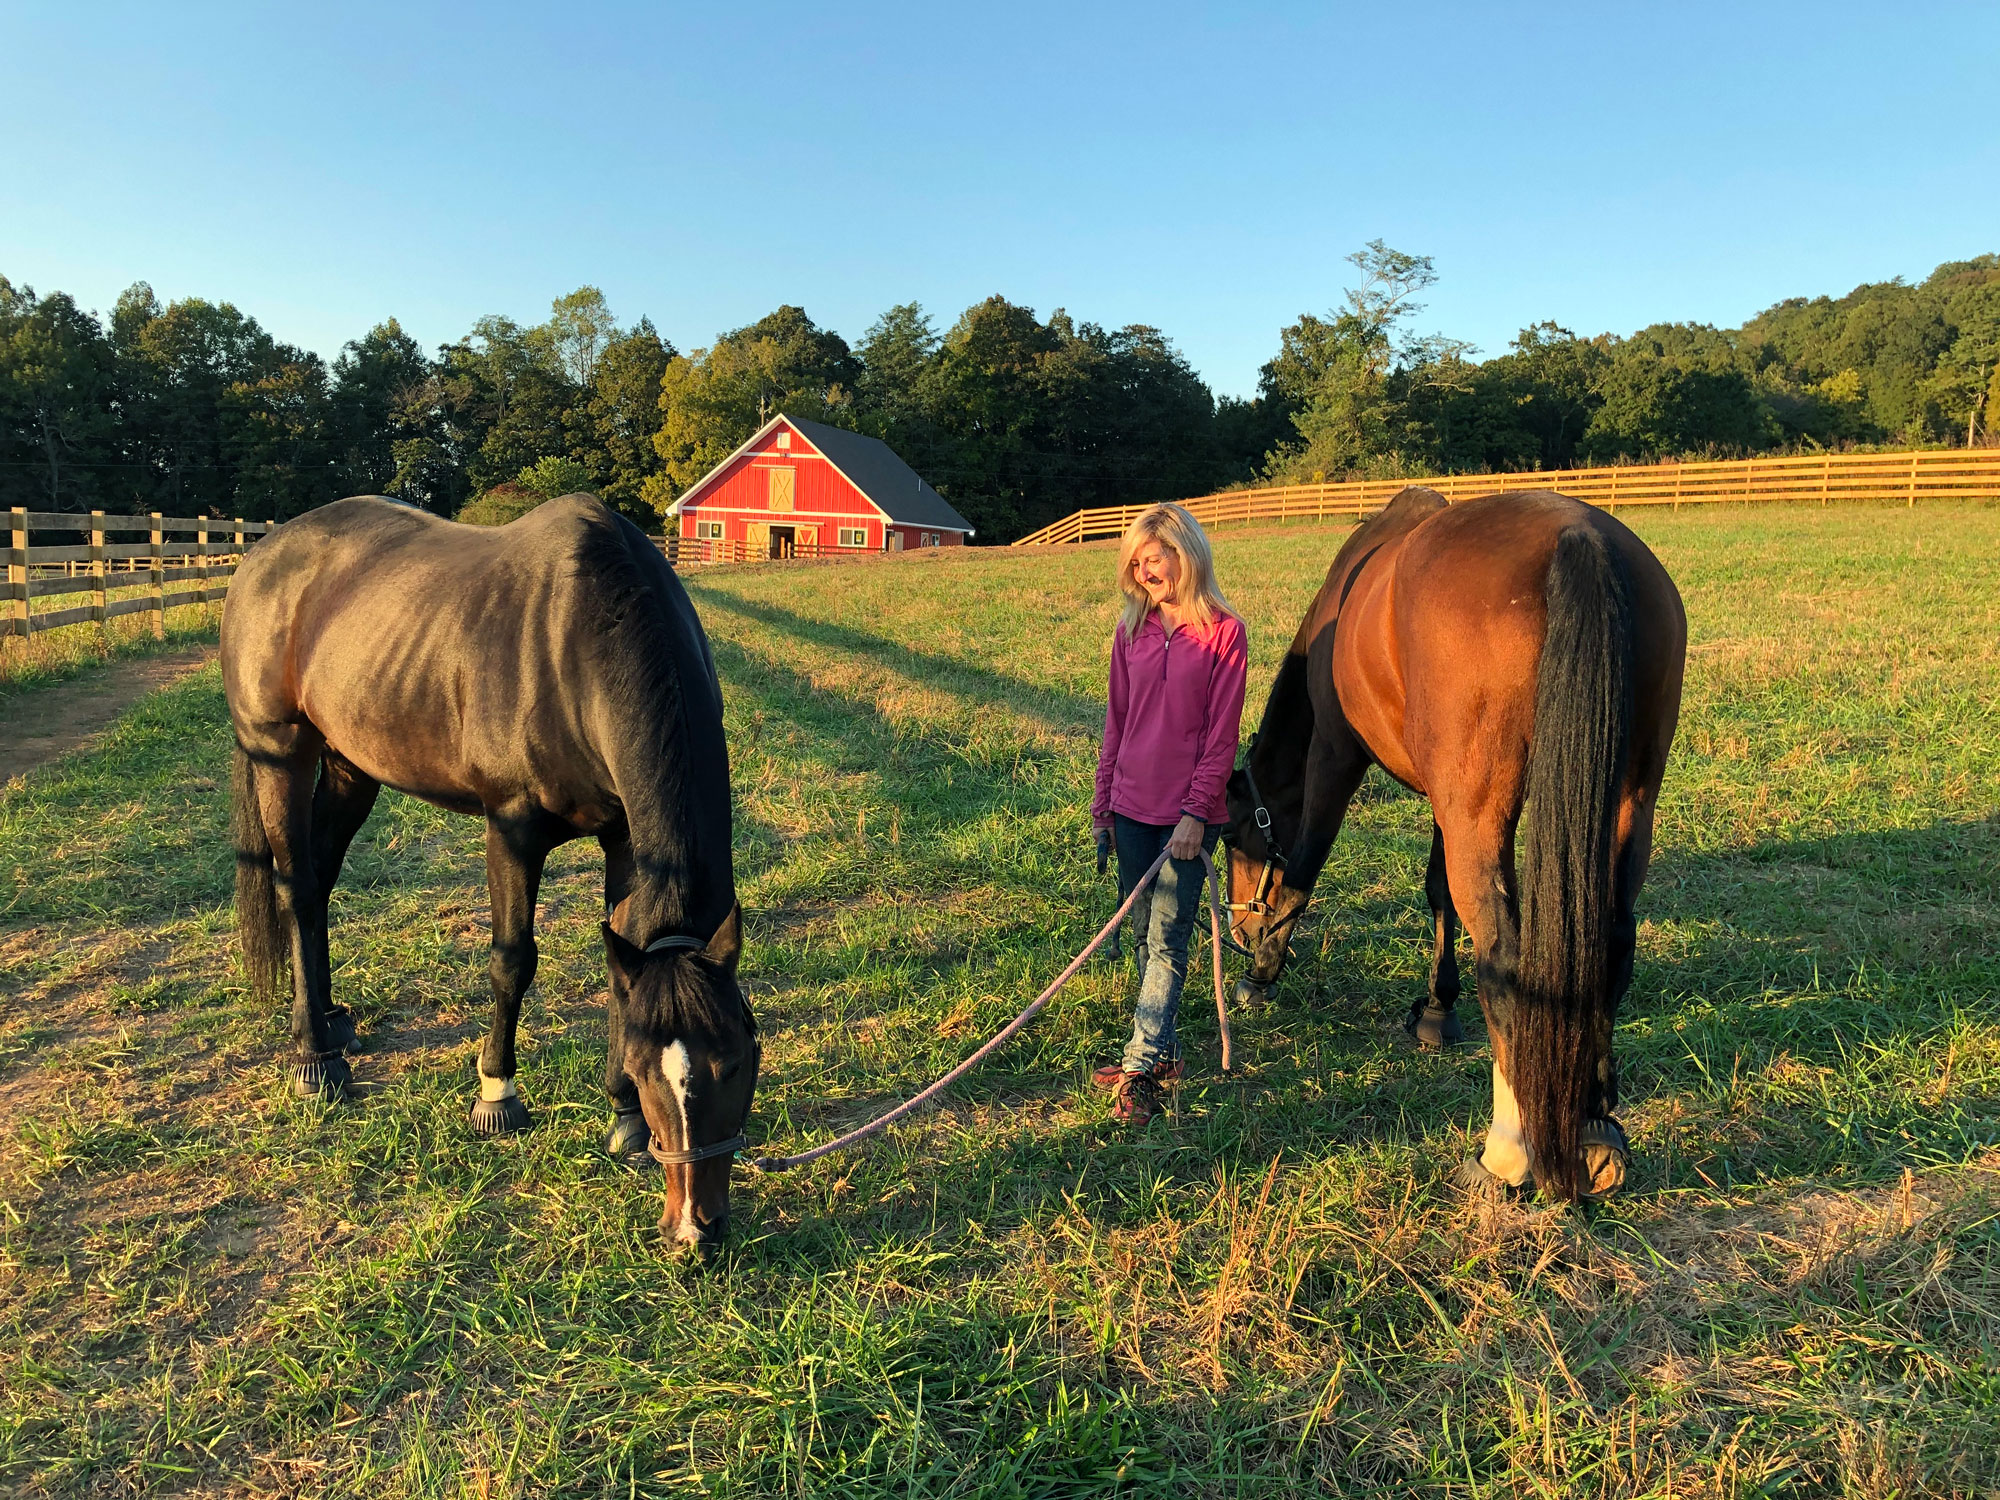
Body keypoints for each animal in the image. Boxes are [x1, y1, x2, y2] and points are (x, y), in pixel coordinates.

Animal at [223, 494, 756, 1248]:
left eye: (736, 1060)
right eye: (654, 1071)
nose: (695, 1232)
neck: (576, 643)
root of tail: (262, 557)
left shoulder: (625, 840)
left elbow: (620, 970)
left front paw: (620, 1118)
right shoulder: (511, 827)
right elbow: (512, 960)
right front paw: (497, 1094)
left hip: (350, 762)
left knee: (321, 882)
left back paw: (330, 1019)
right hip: (281, 754)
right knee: (297, 889)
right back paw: (314, 1059)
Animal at [1224, 488, 1680, 1208]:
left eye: (1233, 832)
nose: (1241, 931)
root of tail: (1580, 536)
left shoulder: (1337, 755)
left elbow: (1305, 866)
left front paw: (1263, 971)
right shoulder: (1447, 801)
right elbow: (1438, 893)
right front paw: (1438, 1008)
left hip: (1481, 810)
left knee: (1507, 958)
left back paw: (1507, 1154)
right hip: (1626, 802)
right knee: (1610, 943)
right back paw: (1596, 1128)